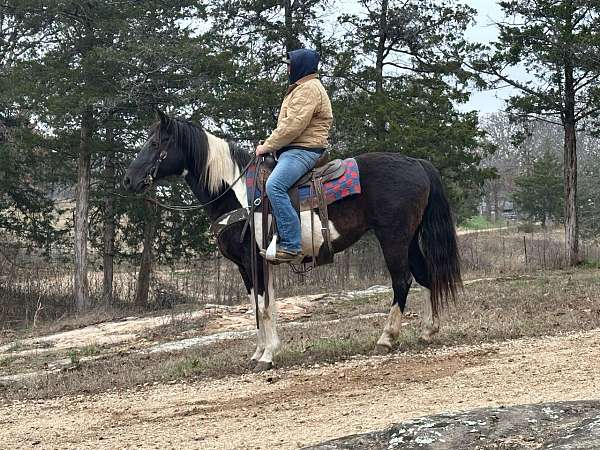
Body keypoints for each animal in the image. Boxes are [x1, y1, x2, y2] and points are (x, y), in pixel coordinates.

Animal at [124, 113, 462, 372]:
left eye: (155, 143)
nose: (129, 180)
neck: (238, 195)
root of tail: (417, 163)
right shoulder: (253, 266)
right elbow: (262, 305)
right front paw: (259, 353)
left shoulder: (253, 261)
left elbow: (263, 308)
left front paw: (267, 356)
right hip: (409, 238)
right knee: (425, 276)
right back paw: (428, 331)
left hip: (393, 237)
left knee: (402, 280)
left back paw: (387, 338)